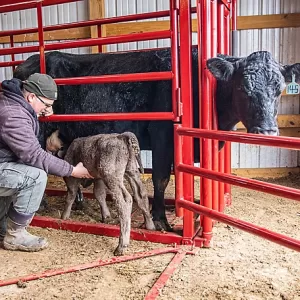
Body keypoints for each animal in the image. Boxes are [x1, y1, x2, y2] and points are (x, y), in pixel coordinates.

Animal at [13, 48, 300, 230]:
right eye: (242, 87)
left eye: (279, 88)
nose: (267, 132)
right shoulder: (163, 134)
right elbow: (162, 177)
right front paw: (160, 219)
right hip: (37, 130)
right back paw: (42, 204)